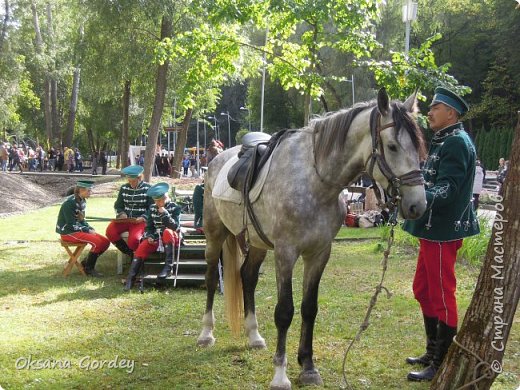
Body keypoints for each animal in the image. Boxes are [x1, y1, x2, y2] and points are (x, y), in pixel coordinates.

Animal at [197, 89, 424, 390]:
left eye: (419, 147)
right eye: (392, 146)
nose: (418, 205)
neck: (315, 180)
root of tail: (217, 160)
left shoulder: (318, 253)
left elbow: (309, 308)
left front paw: (307, 366)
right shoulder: (286, 253)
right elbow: (284, 312)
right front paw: (280, 375)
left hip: (256, 244)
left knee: (248, 277)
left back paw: (254, 335)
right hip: (215, 235)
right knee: (212, 278)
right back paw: (206, 333)